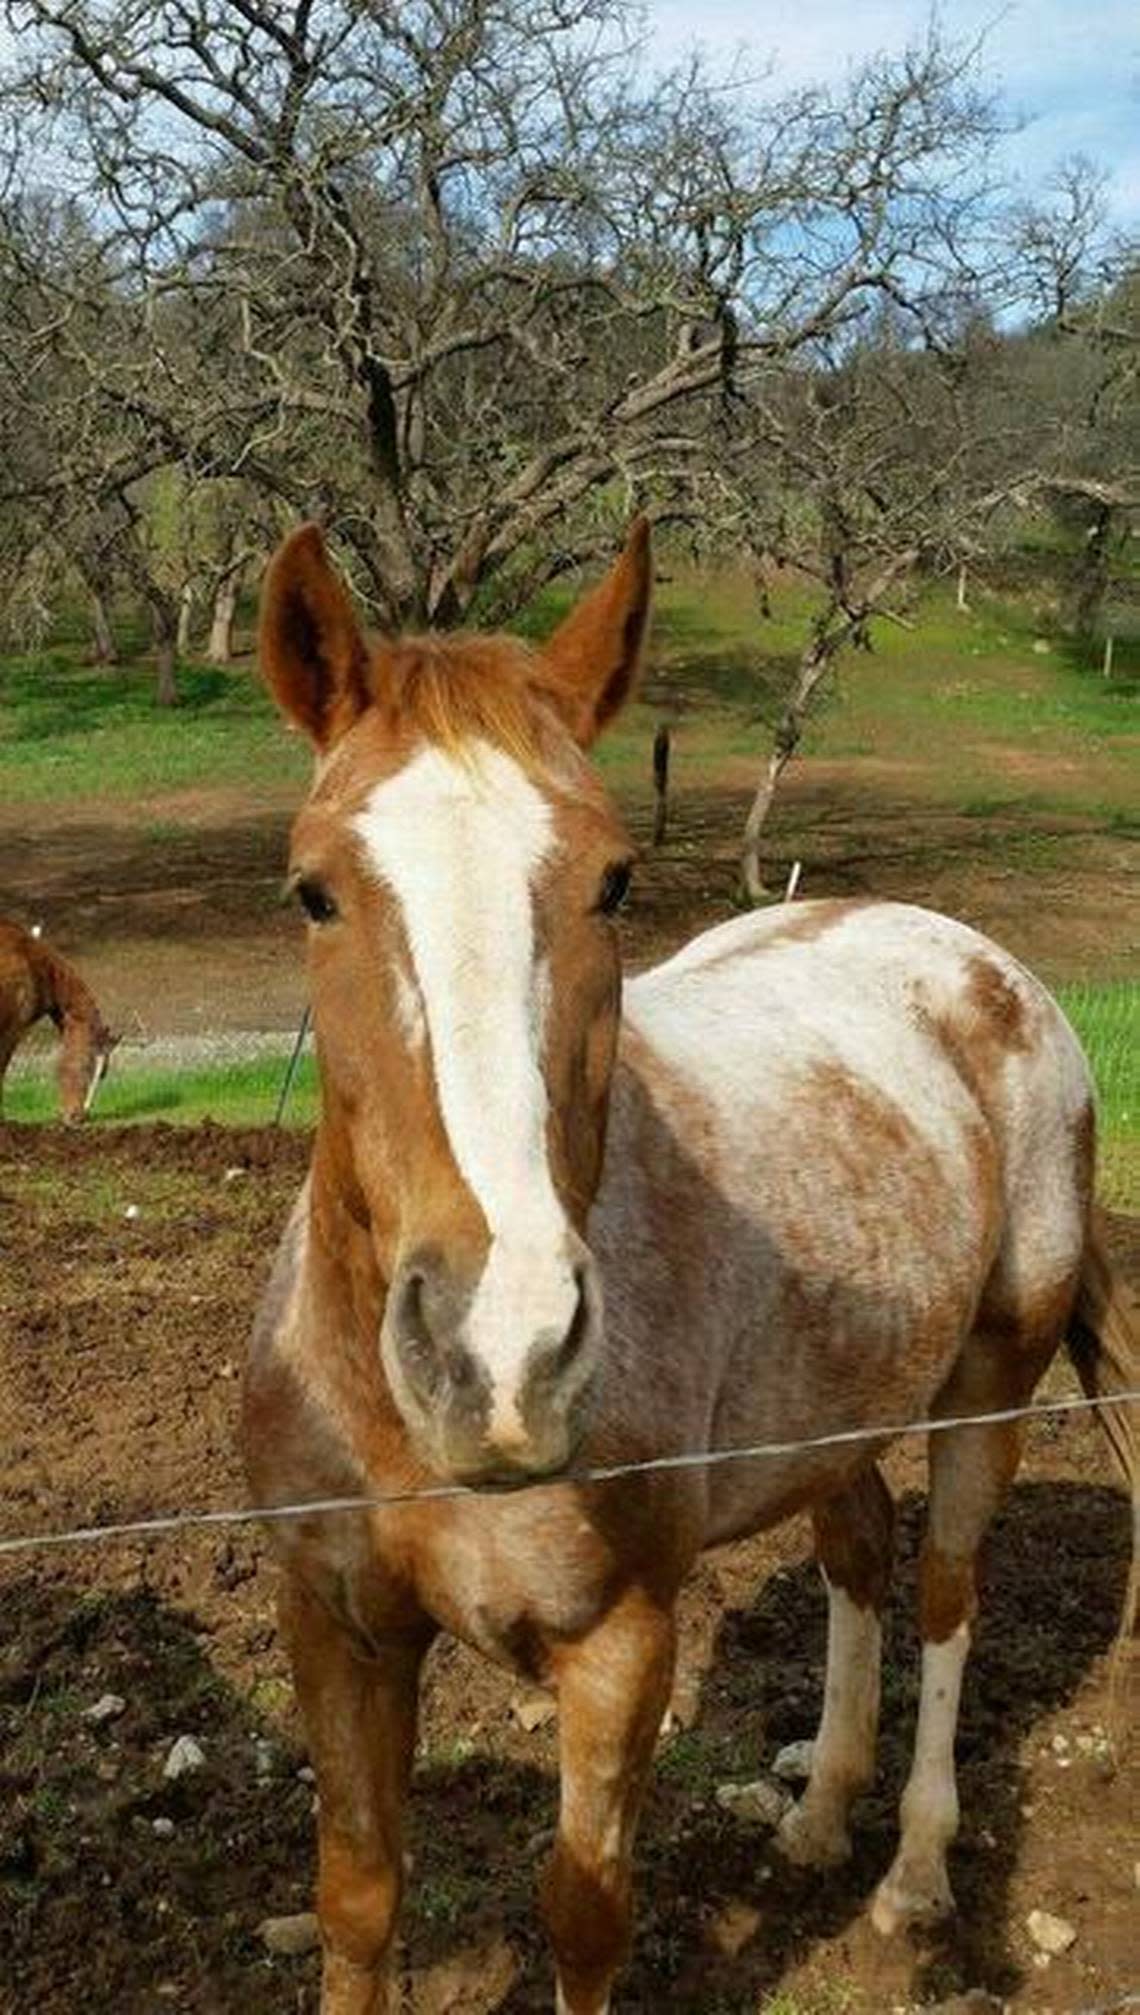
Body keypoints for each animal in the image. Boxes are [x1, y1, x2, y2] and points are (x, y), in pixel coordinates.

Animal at [245, 523, 1135, 2015]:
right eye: (315, 888)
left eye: (611, 879)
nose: (500, 1353)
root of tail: (977, 957)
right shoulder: (340, 1626)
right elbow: (359, 1903)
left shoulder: (619, 1643)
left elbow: (585, 1910)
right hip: (833, 1417)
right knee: (856, 1558)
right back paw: (820, 1813)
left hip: (987, 1389)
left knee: (945, 1591)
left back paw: (912, 1870)